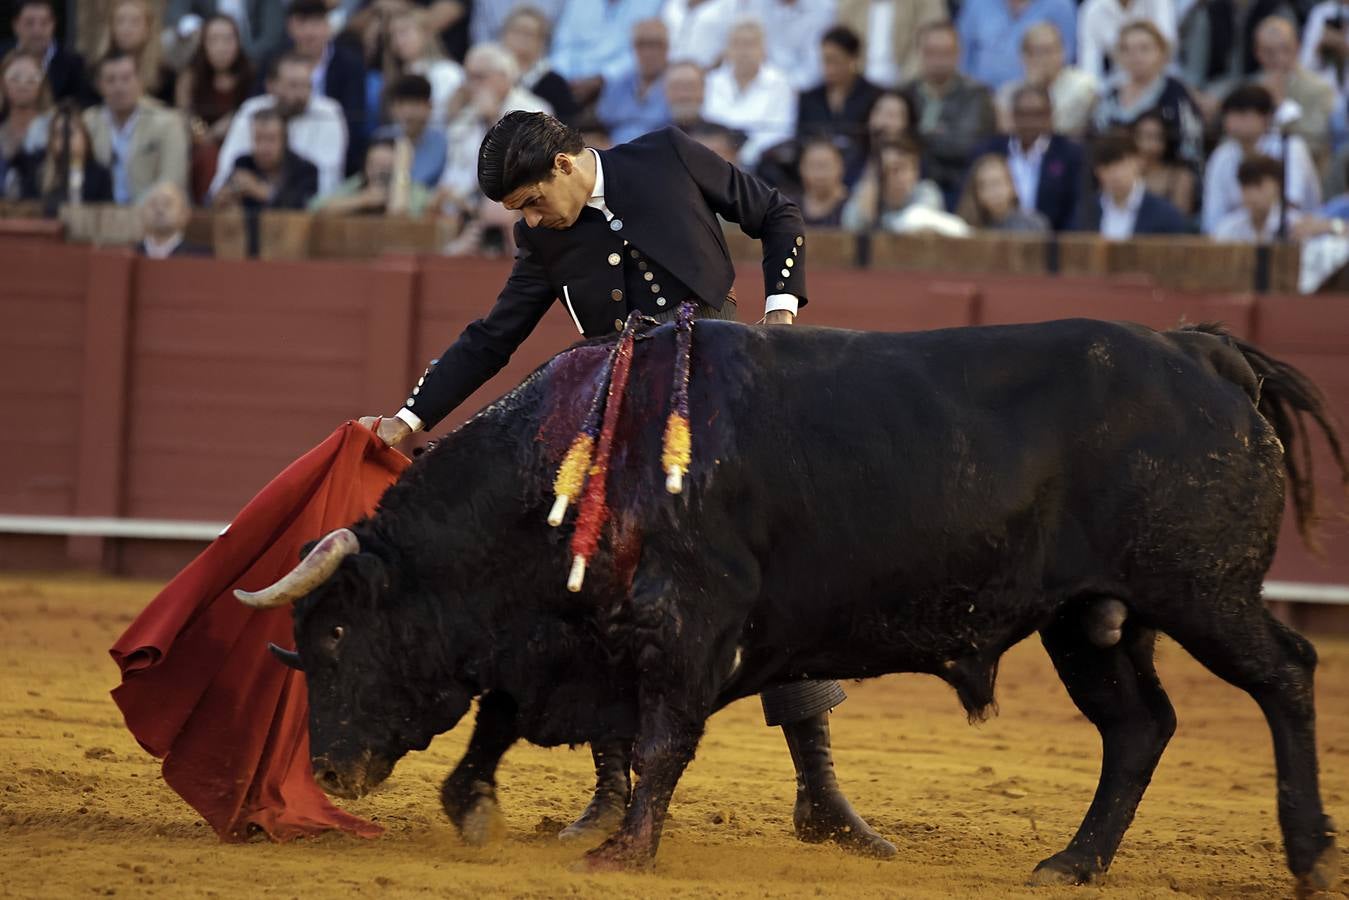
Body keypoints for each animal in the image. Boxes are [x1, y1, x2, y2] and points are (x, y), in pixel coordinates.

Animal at [248, 317, 1343, 885]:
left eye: (335, 632)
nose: (330, 770)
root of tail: (1203, 353)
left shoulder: (687, 624)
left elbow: (658, 740)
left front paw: (626, 851)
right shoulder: (564, 640)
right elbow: (506, 713)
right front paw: (475, 802)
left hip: (1200, 590)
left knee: (1284, 676)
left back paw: (1306, 854)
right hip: (1092, 618)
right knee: (1138, 726)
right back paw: (1071, 862)